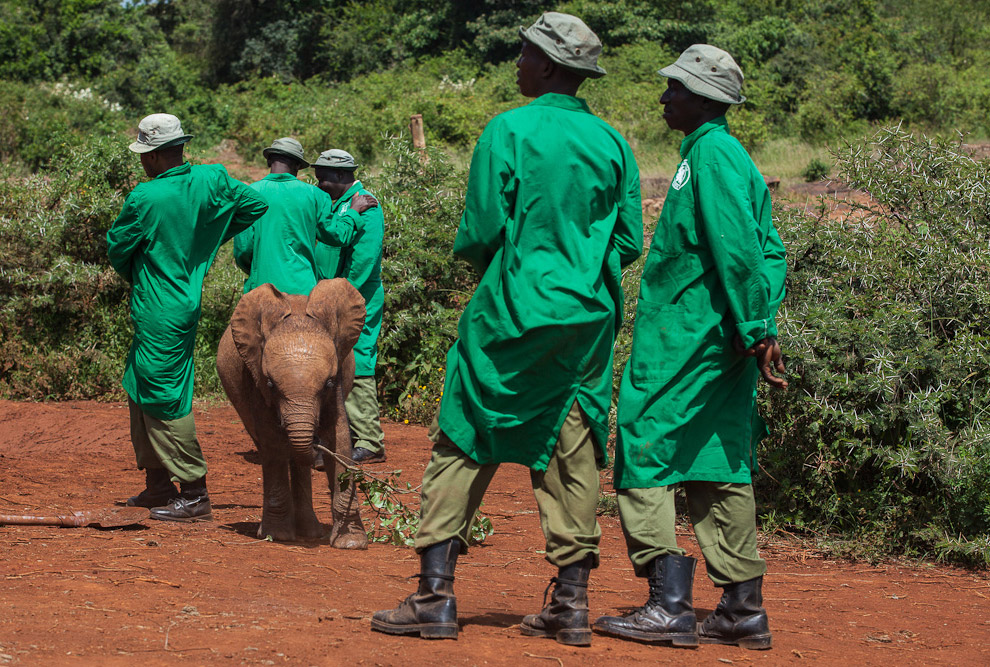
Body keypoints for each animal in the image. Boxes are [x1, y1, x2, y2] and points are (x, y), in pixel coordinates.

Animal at [217, 278, 368, 548]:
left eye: (328, 383)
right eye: (270, 385)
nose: (316, 446)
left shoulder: (338, 376)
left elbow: (339, 436)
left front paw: (351, 542)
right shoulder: (254, 376)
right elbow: (272, 442)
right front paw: (277, 535)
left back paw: (311, 532)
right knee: (268, 447)